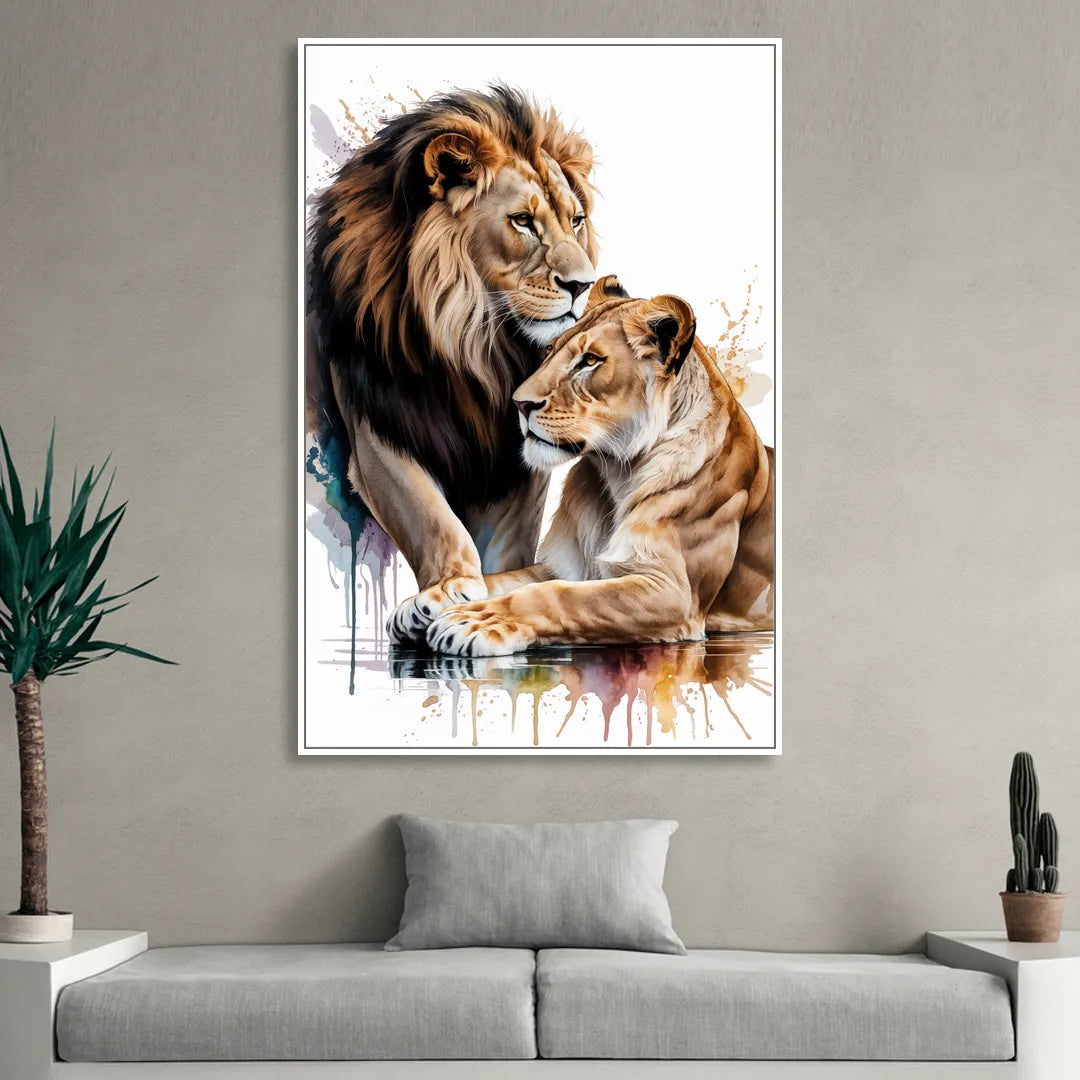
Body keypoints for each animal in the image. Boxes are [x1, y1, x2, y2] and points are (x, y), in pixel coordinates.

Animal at [306, 86, 598, 642]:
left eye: (576, 221)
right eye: (523, 221)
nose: (584, 284)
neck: (474, 347)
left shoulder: (516, 456)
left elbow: (508, 543)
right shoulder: (377, 429)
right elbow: (431, 519)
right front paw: (448, 589)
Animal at [426, 276, 775, 657]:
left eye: (590, 360)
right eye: (550, 350)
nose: (519, 404)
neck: (615, 475)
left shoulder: (675, 592)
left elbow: (560, 596)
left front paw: (477, 620)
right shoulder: (564, 564)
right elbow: (507, 579)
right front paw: (434, 598)